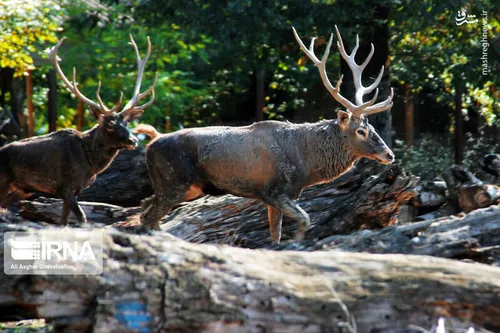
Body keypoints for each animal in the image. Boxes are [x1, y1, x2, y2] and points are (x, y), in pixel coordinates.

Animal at [0, 35, 156, 224]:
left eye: (126, 123)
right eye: (109, 125)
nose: (133, 140)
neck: (89, 165)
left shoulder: (76, 189)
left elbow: (64, 220)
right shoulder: (63, 185)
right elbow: (81, 217)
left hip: (22, 189)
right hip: (4, 181)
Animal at [137, 26, 394, 243]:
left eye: (373, 129)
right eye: (361, 131)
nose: (389, 154)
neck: (307, 163)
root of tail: (151, 143)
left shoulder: (281, 195)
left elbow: (275, 234)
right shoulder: (273, 190)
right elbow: (305, 220)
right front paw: (296, 244)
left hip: (185, 188)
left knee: (145, 208)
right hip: (174, 182)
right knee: (148, 217)